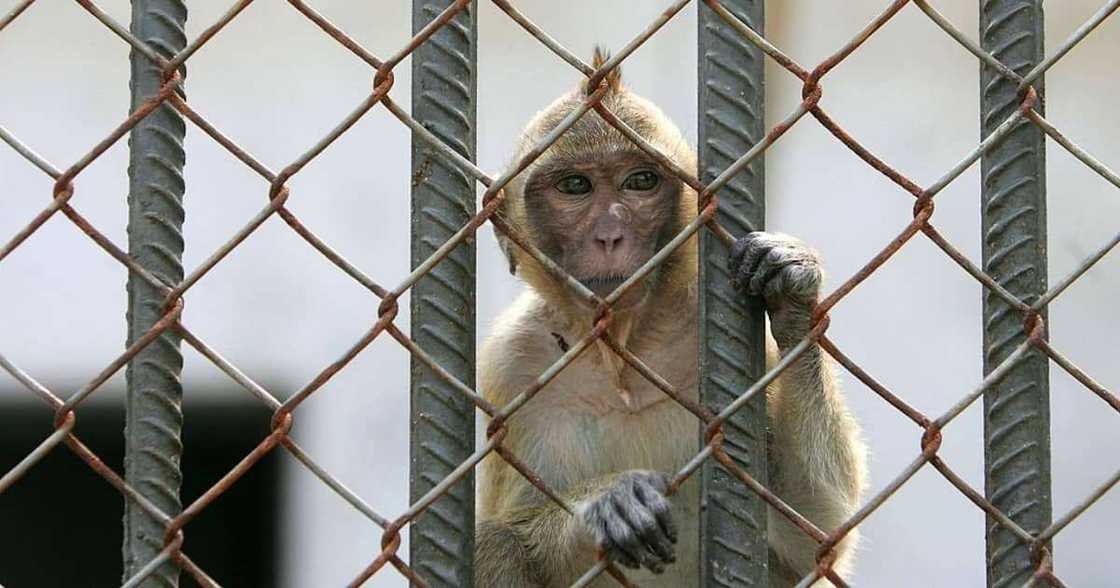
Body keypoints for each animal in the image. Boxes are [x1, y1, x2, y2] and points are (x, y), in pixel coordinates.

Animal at [474, 49, 867, 587]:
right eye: (575, 186)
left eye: (640, 181)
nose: (610, 235)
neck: (621, 349)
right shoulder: (512, 365)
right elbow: (510, 528)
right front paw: (608, 500)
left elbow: (814, 535)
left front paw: (792, 288)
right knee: (494, 544)